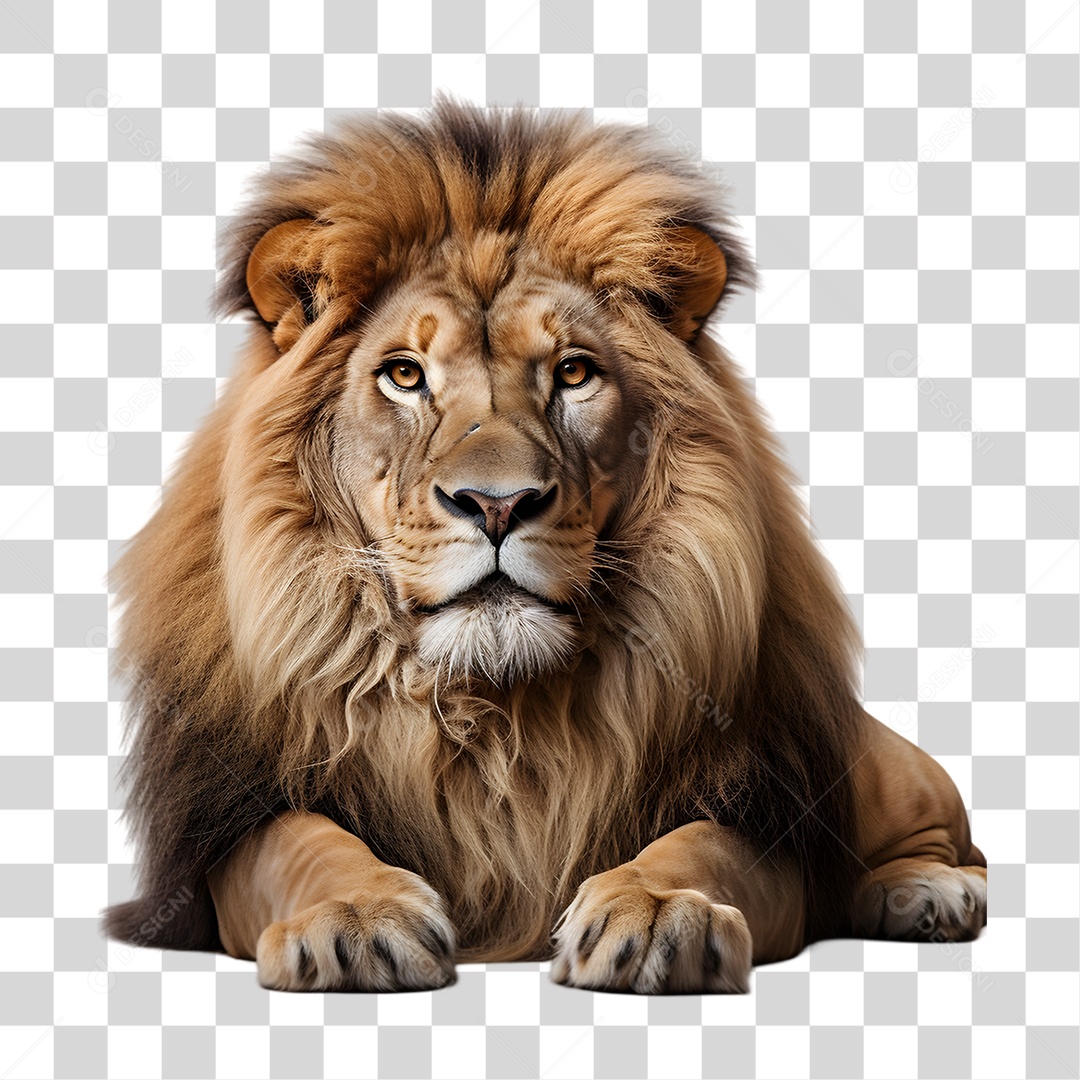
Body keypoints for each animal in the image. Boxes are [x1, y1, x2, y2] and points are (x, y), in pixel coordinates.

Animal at [103, 100, 986, 993]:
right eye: (404, 374)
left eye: (572, 373)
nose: (497, 504)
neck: (497, 713)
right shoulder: (226, 826)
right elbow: (302, 842)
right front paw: (357, 916)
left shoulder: (762, 808)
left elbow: (700, 847)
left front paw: (655, 912)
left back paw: (925, 893)